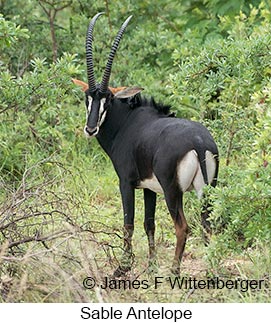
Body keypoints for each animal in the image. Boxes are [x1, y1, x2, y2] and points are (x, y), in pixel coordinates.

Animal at [73, 11, 220, 278]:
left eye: (108, 99)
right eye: (87, 98)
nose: (90, 129)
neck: (127, 122)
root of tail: (198, 141)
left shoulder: (126, 183)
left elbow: (128, 223)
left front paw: (122, 267)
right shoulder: (150, 189)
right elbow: (149, 224)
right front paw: (151, 267)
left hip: (173, 192)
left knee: (183, 227)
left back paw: (174, 271)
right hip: (208, 190)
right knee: (207, 225)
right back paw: (211, 270)